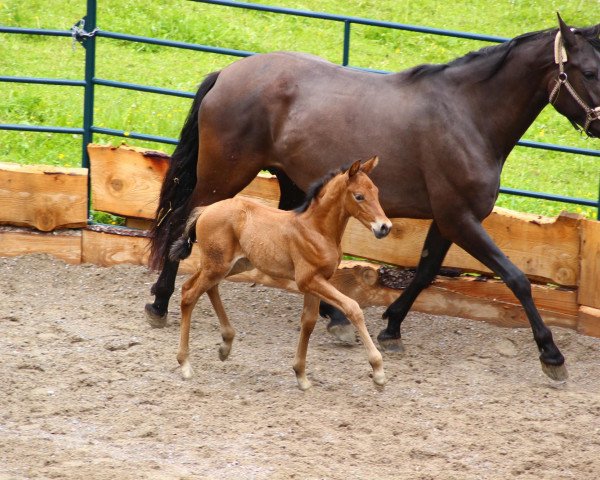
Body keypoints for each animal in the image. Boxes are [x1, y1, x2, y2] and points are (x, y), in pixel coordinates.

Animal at [170, 158, 394, 390]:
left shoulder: (317, 281)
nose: (385, 227)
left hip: (231, 265)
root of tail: (205, 210)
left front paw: (301, 375)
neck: (317, 230)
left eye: (376, 191)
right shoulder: (308, 280)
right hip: (217, 265)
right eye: (359, 196)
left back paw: (225, 345)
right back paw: (185, 364)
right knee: (189, 295)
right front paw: (378, 371)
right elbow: (353, 307)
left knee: (197, 287)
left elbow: (308, 321)